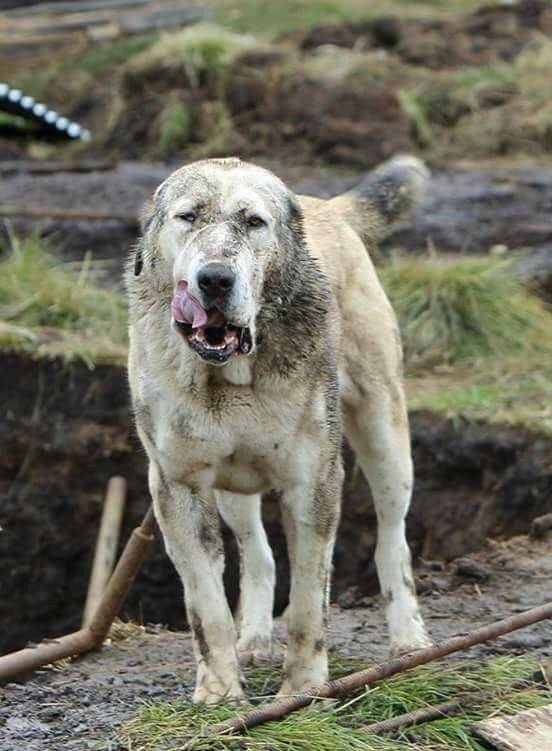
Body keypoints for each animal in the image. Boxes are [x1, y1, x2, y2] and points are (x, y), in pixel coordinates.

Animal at [127, 153, 434, 704]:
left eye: (254, 222)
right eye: (188, 217)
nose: (215, 279)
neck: (231, 376)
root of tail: (327, 206)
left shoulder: (314, 482)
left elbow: (311, 601)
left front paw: (304, 690)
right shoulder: (178, 486)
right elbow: (206, 604)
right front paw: (220, 692)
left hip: (385, 435)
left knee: (392, 538)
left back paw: (409, 641)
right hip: (232, 488)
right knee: (258, 554)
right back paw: (253, 638)